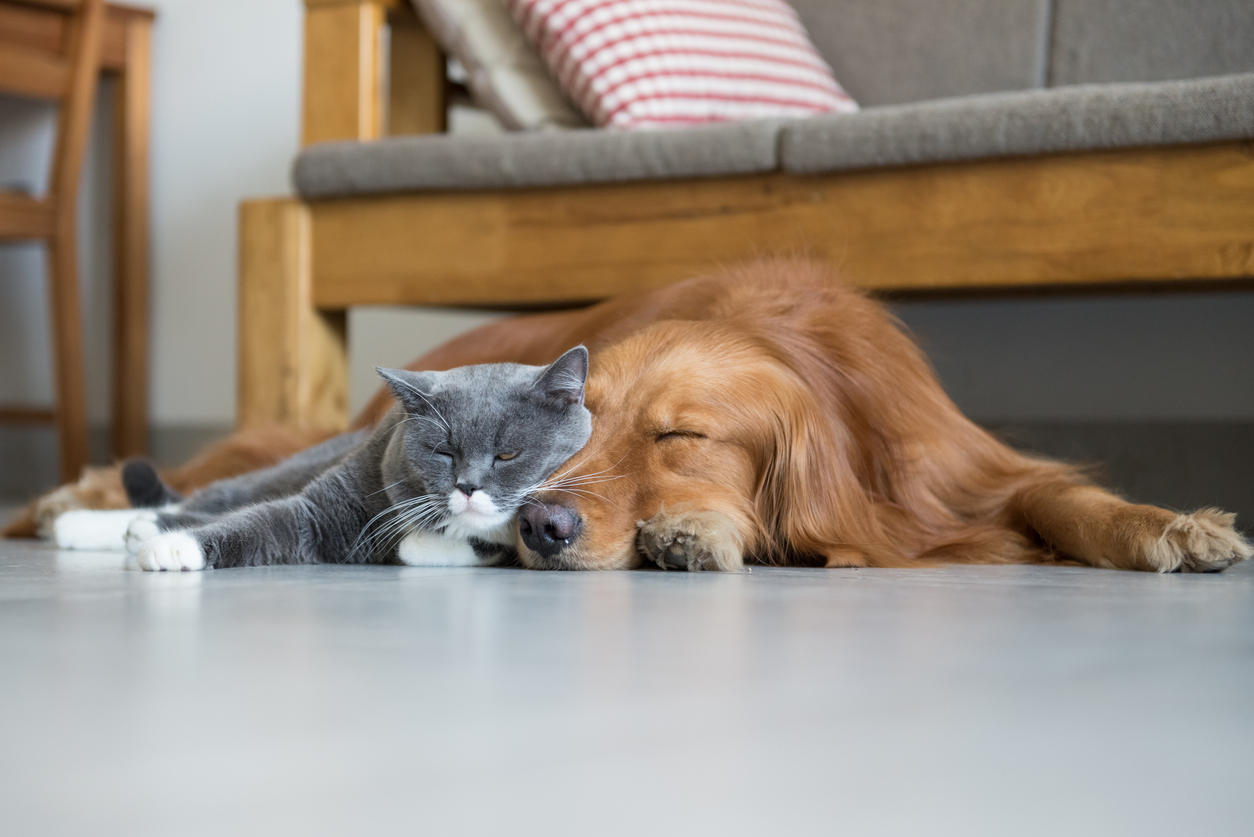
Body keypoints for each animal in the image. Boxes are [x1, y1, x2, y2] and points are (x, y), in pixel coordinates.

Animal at [53, 346, 591, 569]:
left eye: (507, 453)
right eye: (443, 451)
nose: (468, 485)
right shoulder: (323, 506)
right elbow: (257, 522)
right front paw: (174, 548)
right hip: (287, 470)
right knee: (214, 499)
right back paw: (92, 524)